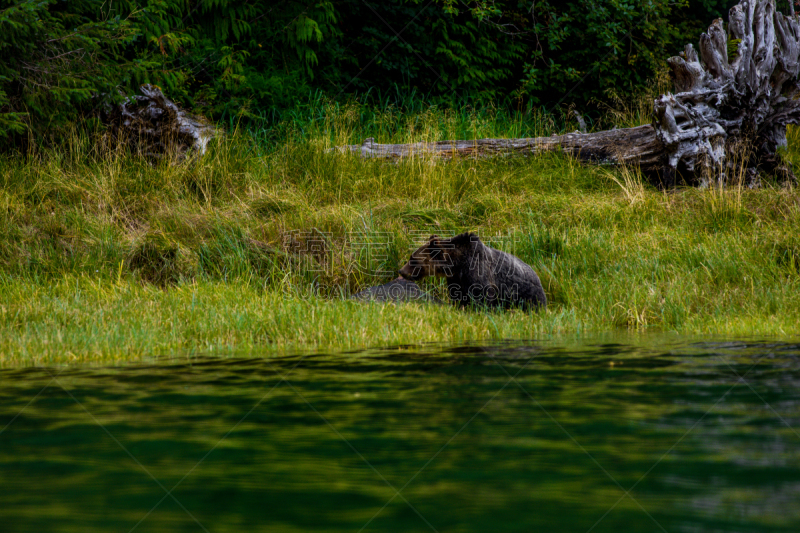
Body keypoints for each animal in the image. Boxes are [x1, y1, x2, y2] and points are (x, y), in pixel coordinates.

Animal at [398, 231, 548, 310]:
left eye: (413, 259)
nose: (401, 271)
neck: (457, 264)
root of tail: (538, 276)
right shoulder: (456, 279)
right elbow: (458, 296)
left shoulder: (478, 272)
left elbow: (482, 296)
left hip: (526, 293)